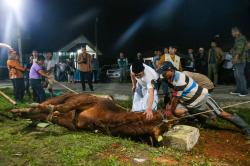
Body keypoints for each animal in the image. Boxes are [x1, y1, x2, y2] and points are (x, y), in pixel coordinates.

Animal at [11, 93, 168, 143]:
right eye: (157, 115)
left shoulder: (71, 125)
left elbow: (55, 115)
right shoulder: (84, 100)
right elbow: (61, 108)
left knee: (35, 113)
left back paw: (20, 114)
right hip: (62, 97)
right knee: (44, 104)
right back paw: (19, 109)